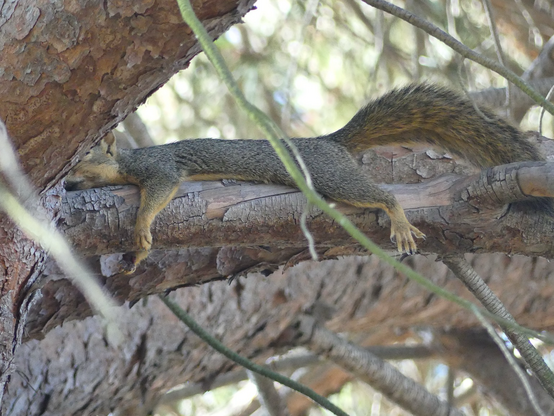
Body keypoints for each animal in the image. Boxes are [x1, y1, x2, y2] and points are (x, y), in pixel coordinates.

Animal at [64, 84, 544, 270]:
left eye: (83, 161)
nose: (65, 185)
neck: (126, 162)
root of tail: (330, 142)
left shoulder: (159, 168)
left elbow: (160, 190)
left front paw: (142, 230)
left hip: (332, 176)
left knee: (380, 194)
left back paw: (398, 217)